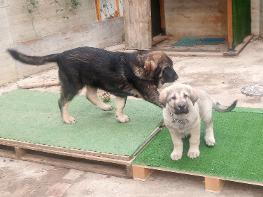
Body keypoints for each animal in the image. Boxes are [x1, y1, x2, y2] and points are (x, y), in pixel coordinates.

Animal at [7, 46, 178, 123]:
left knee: (89, 95)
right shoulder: (151, 93)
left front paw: (120, 117)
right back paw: (66, 118)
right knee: (62, 101)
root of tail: (60, 55)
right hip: (73, 84)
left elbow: (120, 105)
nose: (177, 77)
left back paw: (104, 106)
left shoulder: (121, 93)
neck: (140, 66)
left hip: (93, 80)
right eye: (166, 68)